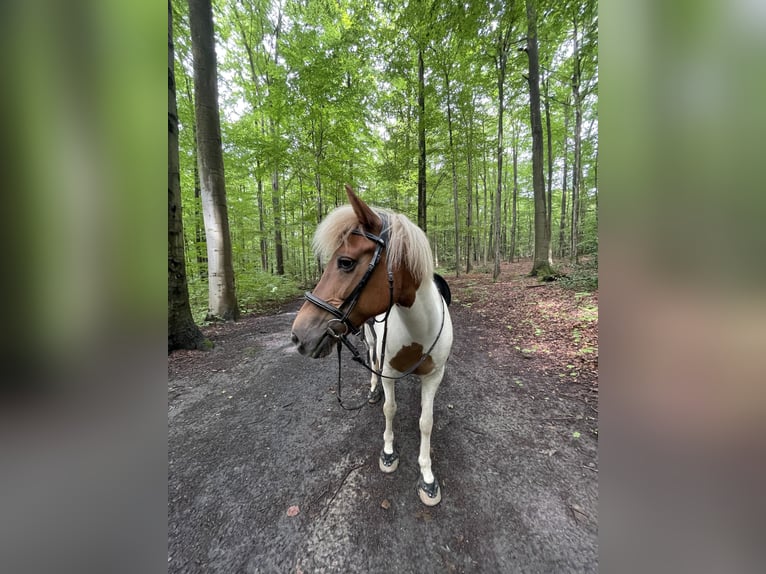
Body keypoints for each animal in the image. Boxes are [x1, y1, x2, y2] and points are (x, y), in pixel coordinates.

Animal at [290, 185, 453, 506]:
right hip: (369, 336)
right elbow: (390, 409)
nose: (299, 336)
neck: (419, 328)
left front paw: (427, 477)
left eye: (345, 262)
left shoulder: (434, 375)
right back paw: (372, 390)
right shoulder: (388, 371)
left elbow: (426, 421)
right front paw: (388, 452)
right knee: (371, 360)